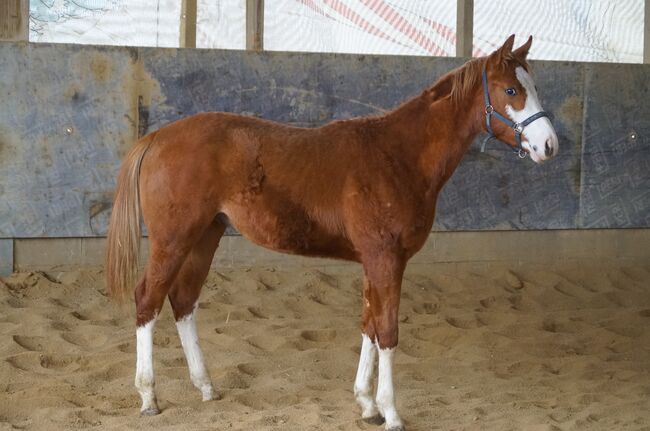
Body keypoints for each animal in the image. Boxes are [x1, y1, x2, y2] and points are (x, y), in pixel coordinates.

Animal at [106, 35, 556, 430]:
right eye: (512, 89)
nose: (549, 145)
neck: (398, 156)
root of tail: (157, 137)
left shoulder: (374, 261)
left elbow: (369, 325)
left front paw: (368, 406)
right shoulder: (386, 259)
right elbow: (387, 332)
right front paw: (391, 413)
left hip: (205, 236)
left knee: (183, 301)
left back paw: (205, 387)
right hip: (173, 239)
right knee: (148, 299)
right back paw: (148, 397)